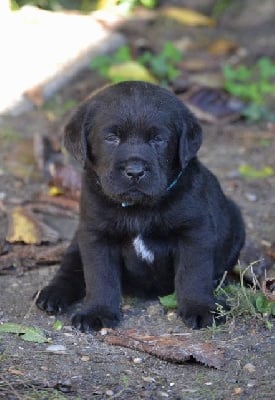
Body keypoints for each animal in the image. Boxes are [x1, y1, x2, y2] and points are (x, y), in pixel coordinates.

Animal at [36, 79, 246, 330]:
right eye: (111, 138)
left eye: (157, 139)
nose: (135, 171)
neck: (138, 208)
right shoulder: (95, 234)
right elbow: (99, 276)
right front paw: (97, 311)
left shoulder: (195, 232)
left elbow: (194, 273)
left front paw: (200, 308)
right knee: (71, 265)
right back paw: (53, 293)